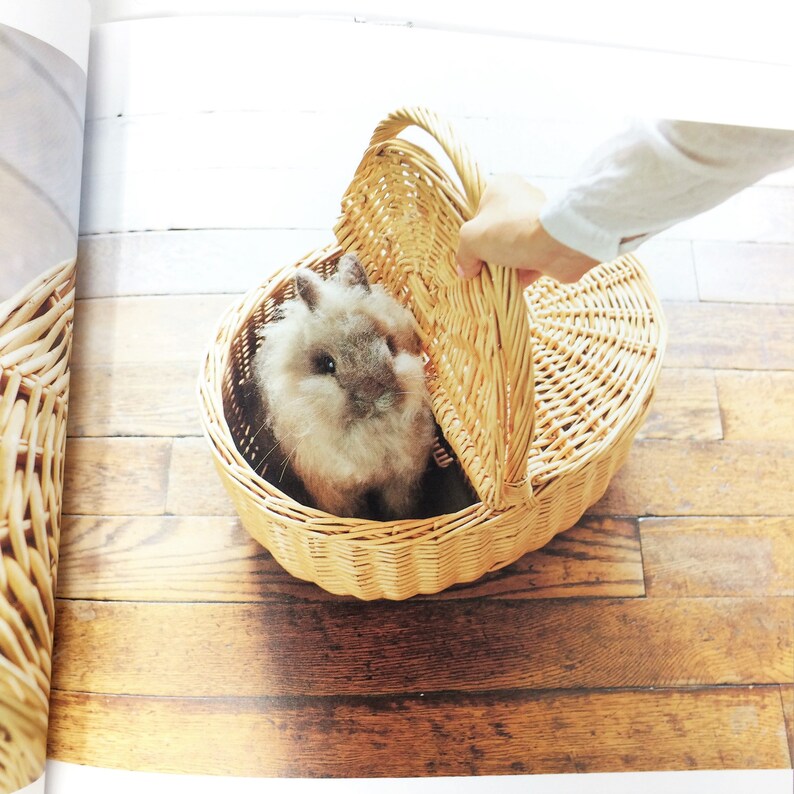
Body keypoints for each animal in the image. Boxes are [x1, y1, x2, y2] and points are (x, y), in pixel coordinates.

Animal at [251, 253, 435, 520]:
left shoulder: (401, 481)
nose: (373, 395)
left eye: (390, 345)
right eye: (328, 364)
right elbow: (352, 515)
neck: (368, 432)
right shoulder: (334, 491)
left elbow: (399, 509)